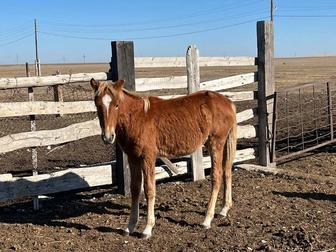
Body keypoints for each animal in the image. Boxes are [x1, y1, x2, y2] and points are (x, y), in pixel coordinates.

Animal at [90, 78, 238, 238]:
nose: (108, 137)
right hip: (223, 144)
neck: (138, 117)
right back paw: (224, 210)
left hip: (215, 144)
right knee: (227, 171)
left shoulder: (148, 157)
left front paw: (147, 228)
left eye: (116, 104)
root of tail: (228, 102)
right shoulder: (133, 157)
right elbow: (135, 189)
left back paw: (207, 219)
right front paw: (130, 226)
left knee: (217, 176)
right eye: (97, 104)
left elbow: (149, 189)